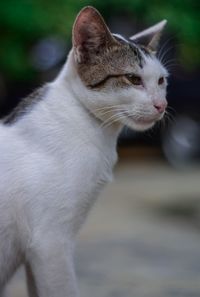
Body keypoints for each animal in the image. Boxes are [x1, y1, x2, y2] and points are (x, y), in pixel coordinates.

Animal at [0, 5, 168, 296]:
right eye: (133, 79)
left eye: (161, 81)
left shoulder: (38, 252)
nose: (162, 105)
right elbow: (63, 289)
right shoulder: (50, 242)